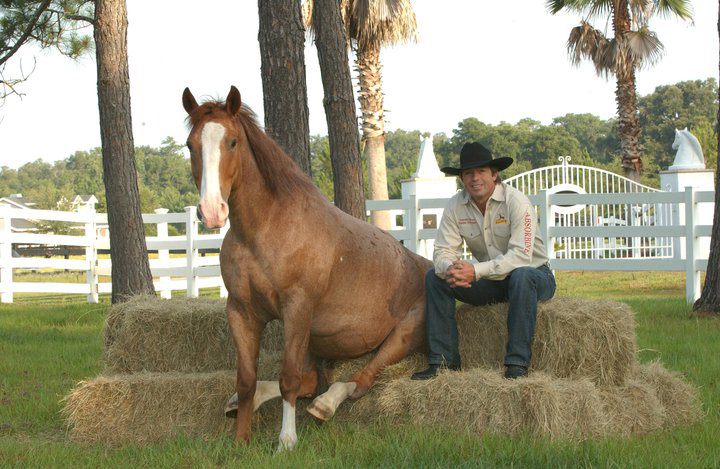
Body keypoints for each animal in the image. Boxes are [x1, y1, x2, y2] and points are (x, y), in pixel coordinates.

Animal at [186, 87, 430, 450]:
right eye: (190, 145)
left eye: (232, 141)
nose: (212, 211)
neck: (265, 230)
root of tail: (425, 265)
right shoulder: (241, 312)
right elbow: (246, 379)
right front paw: (241, 439)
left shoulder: (296, 309)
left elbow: (287, 378)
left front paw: (286, 442)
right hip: (314, 342)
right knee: (310, 381)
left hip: (400, 337)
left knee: (358, 381)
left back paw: (326, 404)